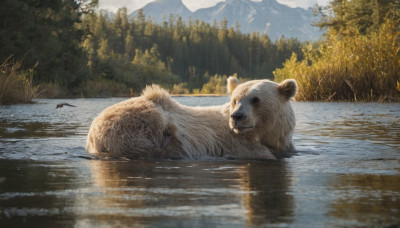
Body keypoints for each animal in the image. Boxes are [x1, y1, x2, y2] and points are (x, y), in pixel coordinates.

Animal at [85, 77, 296, 159]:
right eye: (235, 100)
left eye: (255, 99)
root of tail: (92, 135)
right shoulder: (236, 144)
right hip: (133, 121)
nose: (237, 117)